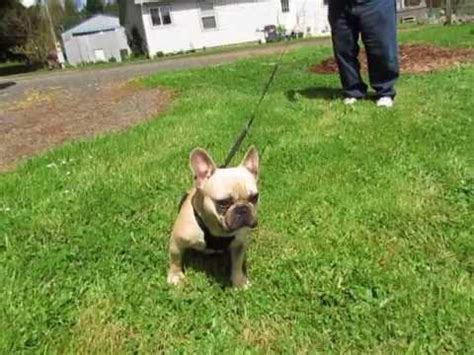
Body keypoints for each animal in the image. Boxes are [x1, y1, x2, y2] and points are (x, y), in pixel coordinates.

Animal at [167, 147, 260, 290]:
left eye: (254, 198)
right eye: (223, 202)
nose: (242, 208)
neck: (218, 230)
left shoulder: (239, 244)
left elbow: (237, 264)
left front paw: (239, 281)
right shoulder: (176, 241)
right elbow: (175, 259)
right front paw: (176, 276)